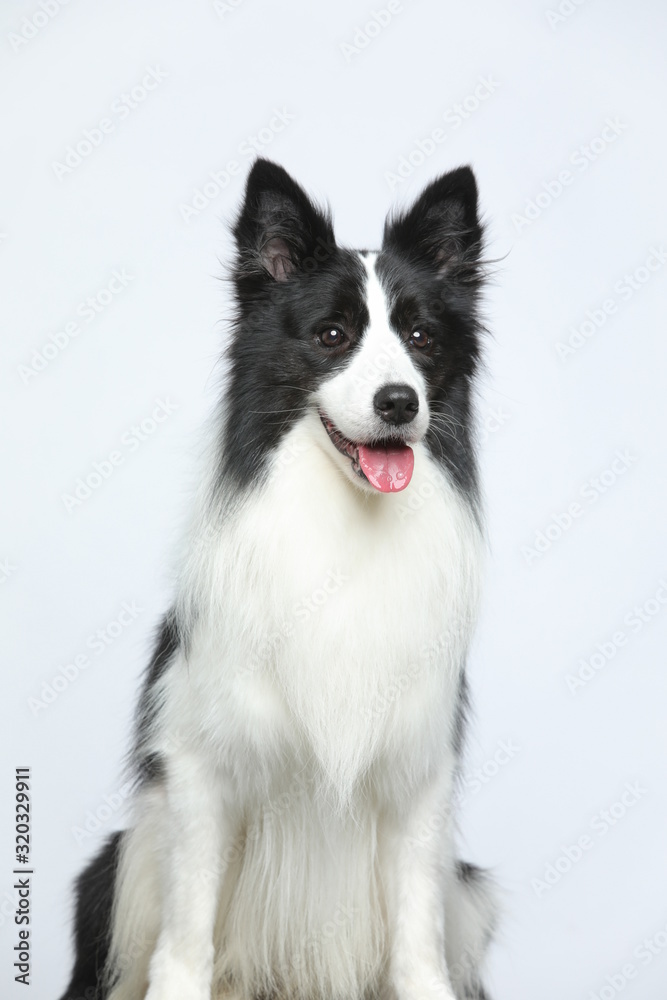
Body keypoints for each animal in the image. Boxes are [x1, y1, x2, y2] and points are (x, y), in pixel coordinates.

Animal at [60, 156, 498, 1000]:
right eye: (332, 335)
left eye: (421, 338)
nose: (399, 403)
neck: (346, 526)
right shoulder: (202, 769)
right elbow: (187, 938)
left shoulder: (416, 774)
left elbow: (416, 940)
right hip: (114, 863)